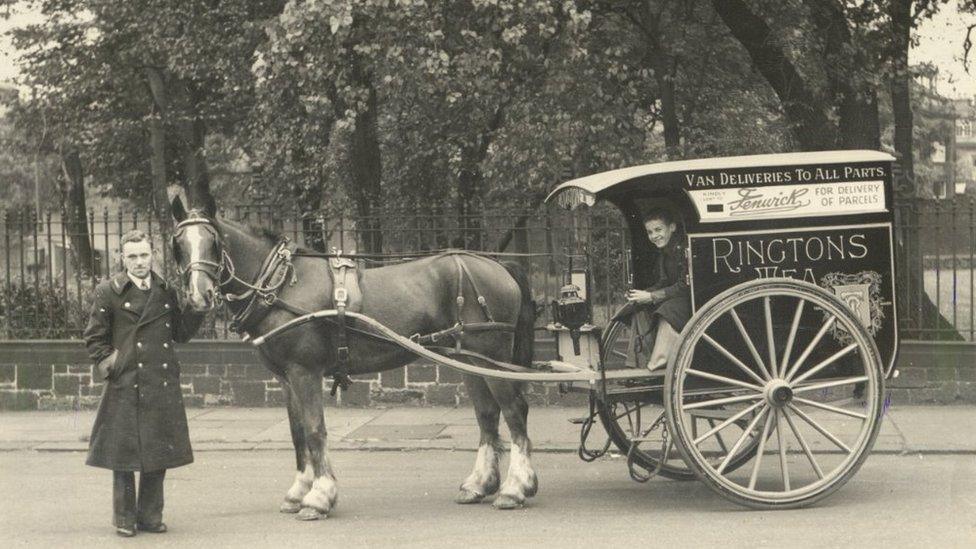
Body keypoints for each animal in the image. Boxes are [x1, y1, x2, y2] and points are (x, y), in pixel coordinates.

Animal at [166, 197, 532, 520]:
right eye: (178, 245)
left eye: (213, 242)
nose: (199, 296)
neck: (280, 284)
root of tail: (499, 265)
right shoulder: (286, 378)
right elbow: (297, 432)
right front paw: (299, 491)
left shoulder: (305, 372)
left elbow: (315, 430)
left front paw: (319, 497)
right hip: (469, 360)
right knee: (487, 415)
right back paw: (480, 484)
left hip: (490, 355)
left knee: (514, 411)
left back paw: (515, 487)